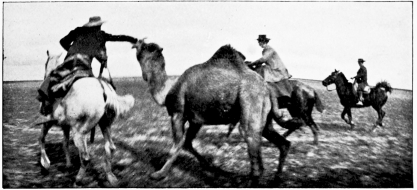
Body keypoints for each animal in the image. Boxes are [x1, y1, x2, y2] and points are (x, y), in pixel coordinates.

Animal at [38, 50, 134, 186]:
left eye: (45, 63)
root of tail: (103, 88)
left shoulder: (47, 122)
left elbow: (41, 138)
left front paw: (45, 163)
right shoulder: (65, 126)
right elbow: (65, 144)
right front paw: (68, 165)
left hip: (79, 132)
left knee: (85, 157)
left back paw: (78, 180)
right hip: (105, 125)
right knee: (110, 148)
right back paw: (111, 177)